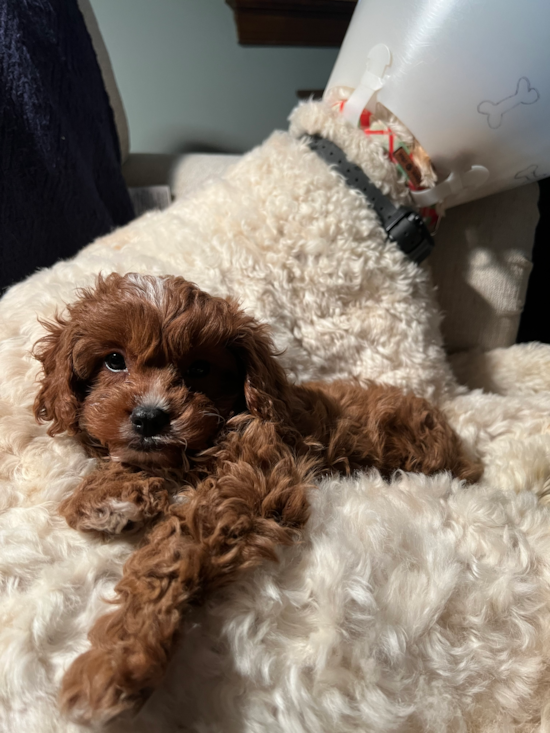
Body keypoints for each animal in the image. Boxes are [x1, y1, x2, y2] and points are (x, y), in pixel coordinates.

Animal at [33, 272, 484, 724]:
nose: (149, 417)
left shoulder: (256, 480)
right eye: (114, 361)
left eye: (200, 369)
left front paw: (120, 658)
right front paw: (105, 496)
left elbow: (173, 552)